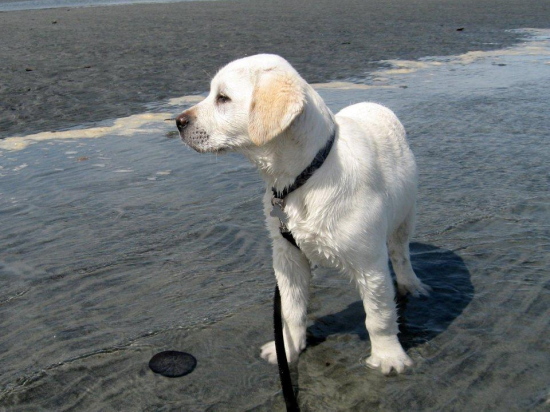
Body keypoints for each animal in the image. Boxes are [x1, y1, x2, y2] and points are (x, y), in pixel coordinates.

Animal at [177, 54, 432, 374]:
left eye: (223, 98)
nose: (178, 122)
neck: (304, 177)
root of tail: (374, 104)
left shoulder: (369, 262)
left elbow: (379, 314)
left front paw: (388, 357)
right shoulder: (287, 256)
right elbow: (291, 309)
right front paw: (286, 349)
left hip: (405, 215)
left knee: (401, 254)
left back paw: (412, 285)